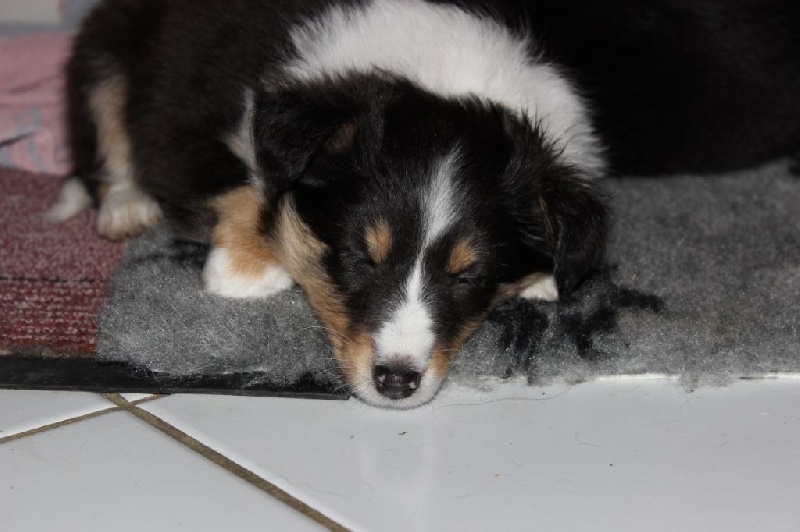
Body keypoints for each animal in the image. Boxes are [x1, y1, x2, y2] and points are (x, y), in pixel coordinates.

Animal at [49, 0, 800, 408]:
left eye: (467, 275)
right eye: (360, 256)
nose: (396, 383)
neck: (439, 76)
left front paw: (545, 276)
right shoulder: (204, 118)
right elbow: (244, 179)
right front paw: (245, 267)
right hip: (105, 50)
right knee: (106, 136)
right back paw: (124, 207)